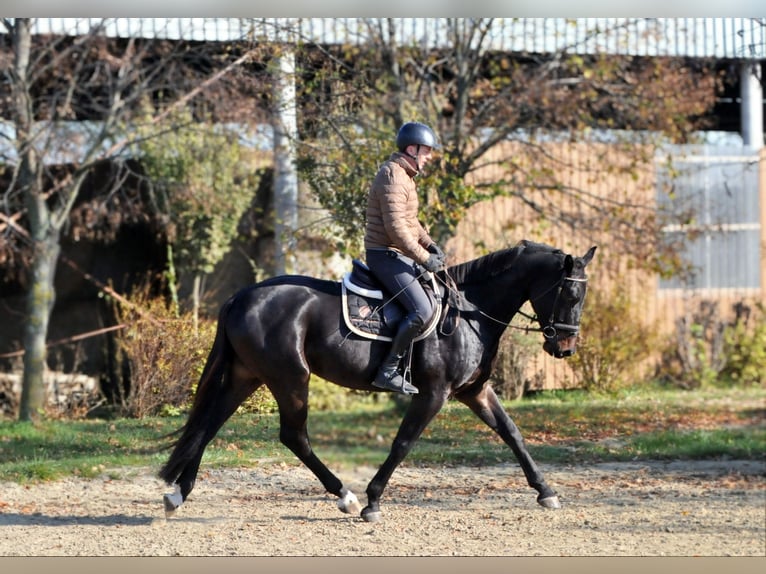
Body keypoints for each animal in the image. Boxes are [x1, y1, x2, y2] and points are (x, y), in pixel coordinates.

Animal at [158, 241, 600, 524]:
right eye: (569, 295)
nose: (565, 348)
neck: (469, 312)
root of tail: (243, 296)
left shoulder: (474, 391)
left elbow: (512, 433)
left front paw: (546, 491)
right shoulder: (435, 393)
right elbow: (403, 442)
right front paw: (373, 500)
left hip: (247, 376)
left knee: (209, 425)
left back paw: (178, 493)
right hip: (290, 378)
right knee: (293, 436)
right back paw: (346, 496)